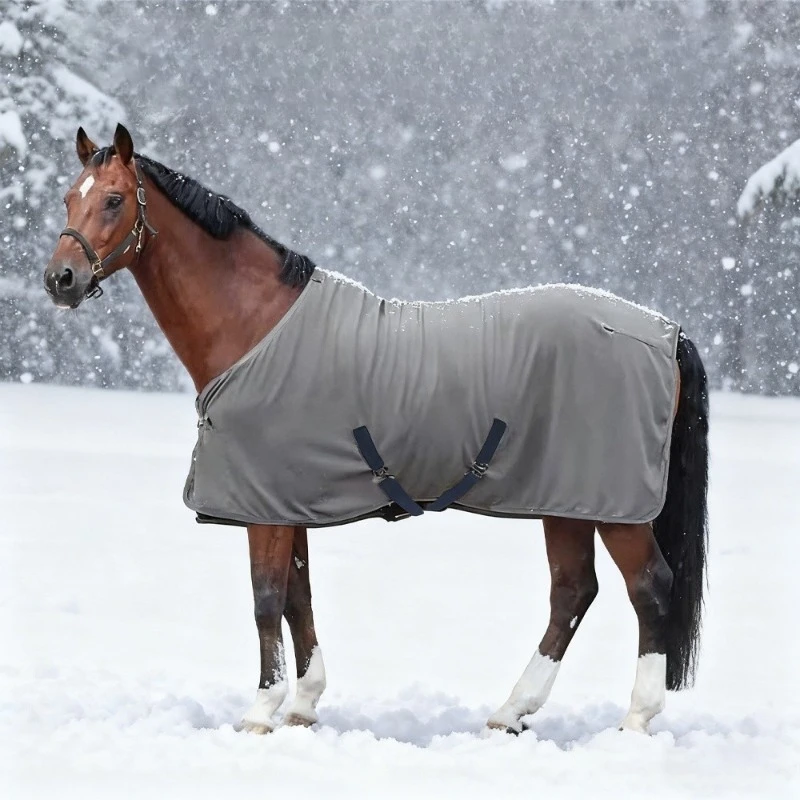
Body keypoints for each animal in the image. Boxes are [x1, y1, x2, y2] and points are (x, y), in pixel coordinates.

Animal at [44, 124, 709, 736]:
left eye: (114, 200)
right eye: (68, 198)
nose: (61, 280)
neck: (256, 326)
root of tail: (664, 332)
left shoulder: (263, 508)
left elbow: (265, 599)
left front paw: (260, 712)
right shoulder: (285, 501)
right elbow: (298, 598)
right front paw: (304, 705)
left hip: (614, 507)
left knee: (648, 587)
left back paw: (635, 719)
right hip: (567, 501)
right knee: (572, 592)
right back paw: (511, 712)